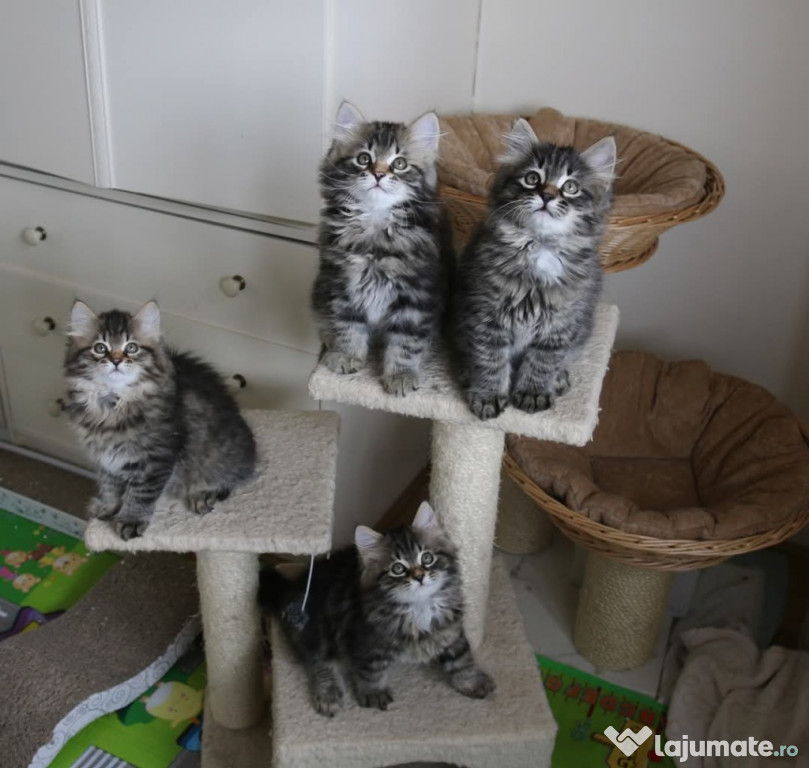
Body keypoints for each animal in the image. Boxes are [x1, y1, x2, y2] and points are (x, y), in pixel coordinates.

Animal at [64, 300, 256, 540]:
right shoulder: (105, 459)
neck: (111, 406)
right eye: (100, 348)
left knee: (227, 480)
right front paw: (108, 507)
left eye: (131, 348)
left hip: (220, 460)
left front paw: (130, 521)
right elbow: (109, 487)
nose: (116, 360)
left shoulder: (157, 458)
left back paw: (202, 495)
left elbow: (140, 494)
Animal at [262, 500, 496, 716]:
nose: (419, 576)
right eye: (398, 568)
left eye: (427, 558)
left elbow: (462, 660)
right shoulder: (366, 640)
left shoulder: (451, 630)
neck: (419, 607)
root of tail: (292, 587)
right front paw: (373, 694)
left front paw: (472, 682)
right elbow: (371, 671)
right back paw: (329, 695)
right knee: (319, 661)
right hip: (316, 626)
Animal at [310, 101, 452, 396]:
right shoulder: (341, 285)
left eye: (399, 164)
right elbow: (347, 325)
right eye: (364, 159)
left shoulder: (417, 295)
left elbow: (406, 340)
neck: (375, 229)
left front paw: (400, 375)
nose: (378, 174)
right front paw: (347, 355)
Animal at [452, 118, 616, 420]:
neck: (540, 246)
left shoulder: (560, 325)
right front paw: (488, 395)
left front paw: (533, 393)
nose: (547, 195)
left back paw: (559, 379)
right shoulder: (487, 317)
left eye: (570, 187)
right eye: (532, 179)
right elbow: (491, 360)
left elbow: (543, 361)